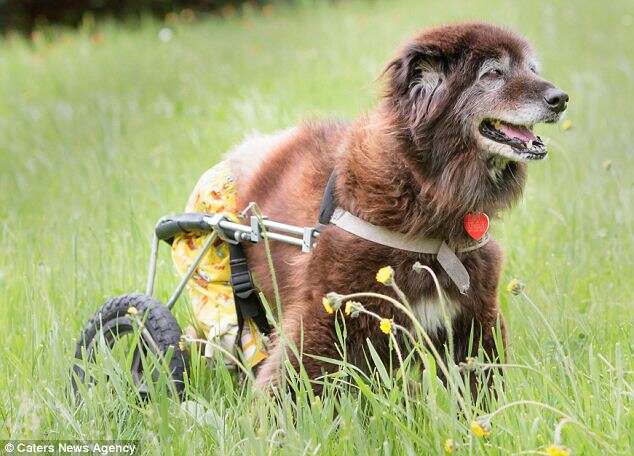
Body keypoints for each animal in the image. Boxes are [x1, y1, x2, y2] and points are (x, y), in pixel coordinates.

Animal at [227, 22, 568, 392]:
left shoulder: (474, 314)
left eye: (531, 69)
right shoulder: (323, 314)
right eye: (493, 73)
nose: (561, 99)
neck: (422, 187)